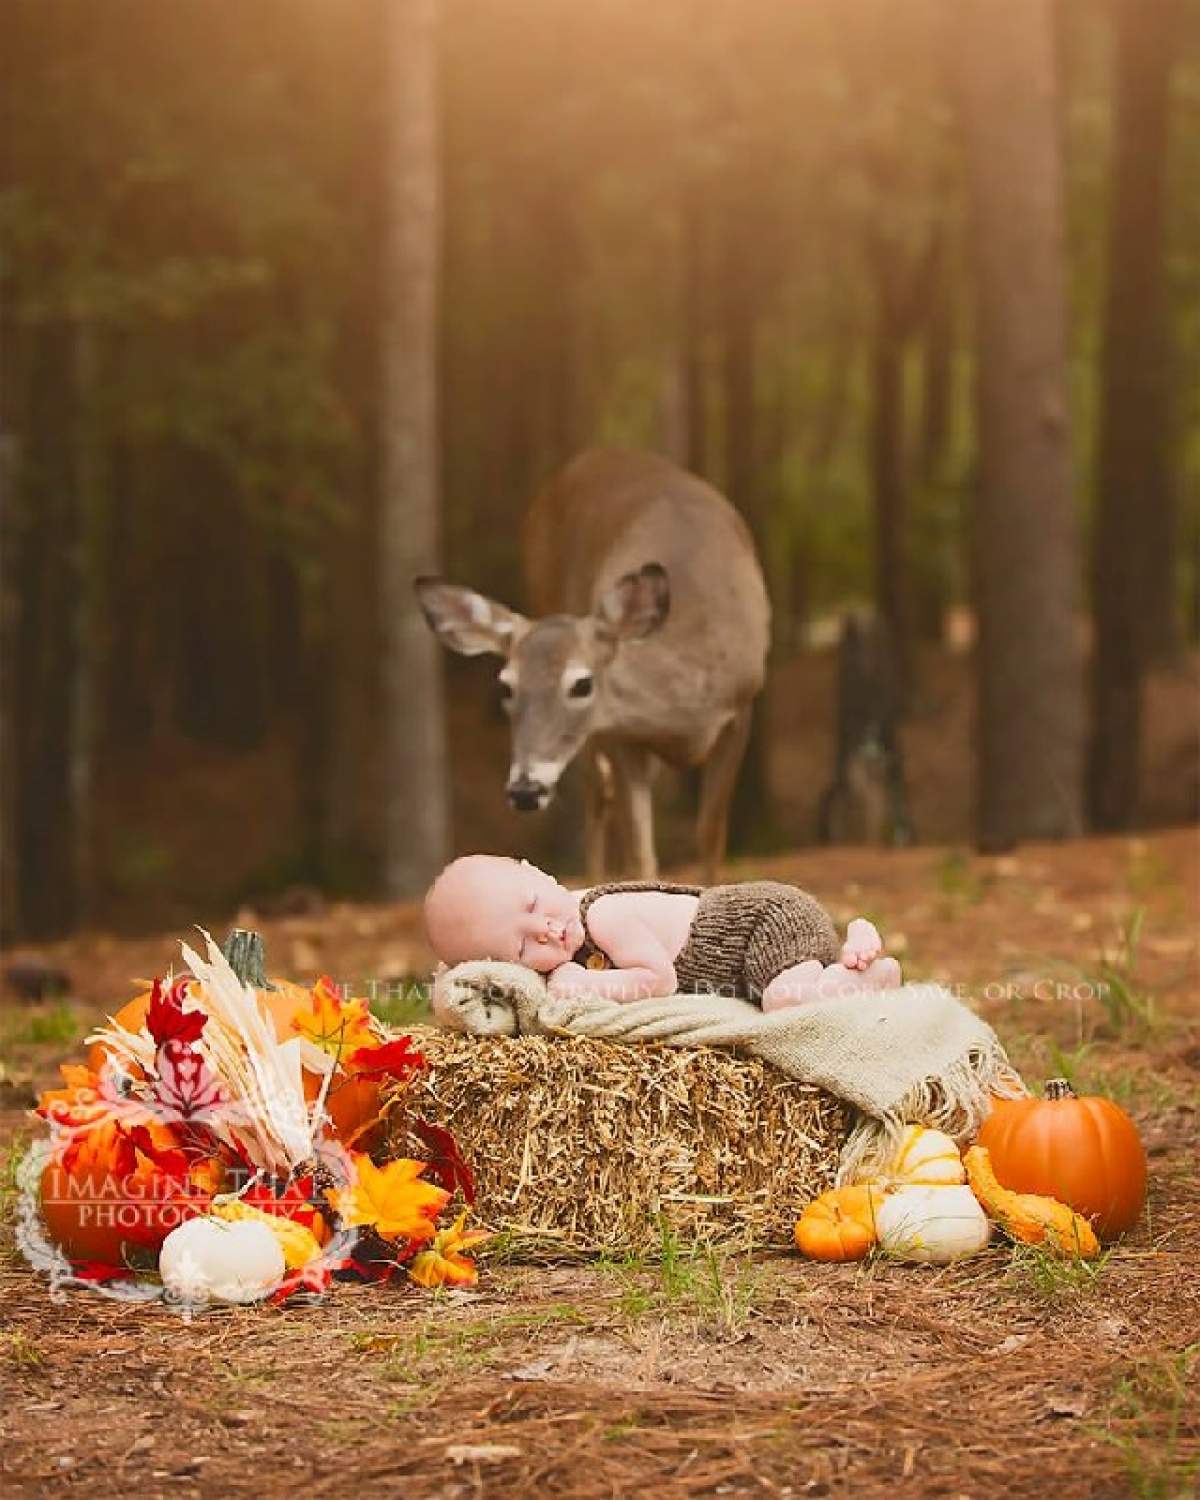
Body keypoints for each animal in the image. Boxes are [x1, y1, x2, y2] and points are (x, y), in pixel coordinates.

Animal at [414, 450, 768, 882]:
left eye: (581, 684)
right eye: (506, 686)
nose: (525, 790)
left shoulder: (741, 709)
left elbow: (710, 835)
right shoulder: (620, 733)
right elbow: (640, 854)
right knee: (597, 795)